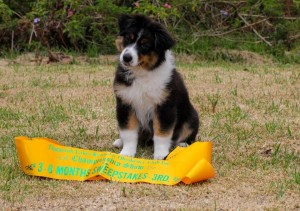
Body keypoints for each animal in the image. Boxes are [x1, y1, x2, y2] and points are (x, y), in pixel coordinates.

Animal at [112, 14, 199, 160]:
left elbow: (161, 134)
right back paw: (119, 141)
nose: (126, 57)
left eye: (145, 45)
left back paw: (182, 145)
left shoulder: (164, 106)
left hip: (192, 118)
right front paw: (127, 153)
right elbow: (128, 132)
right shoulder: (125, 103)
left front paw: (161, 155)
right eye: (128, 38)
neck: (142, 73)